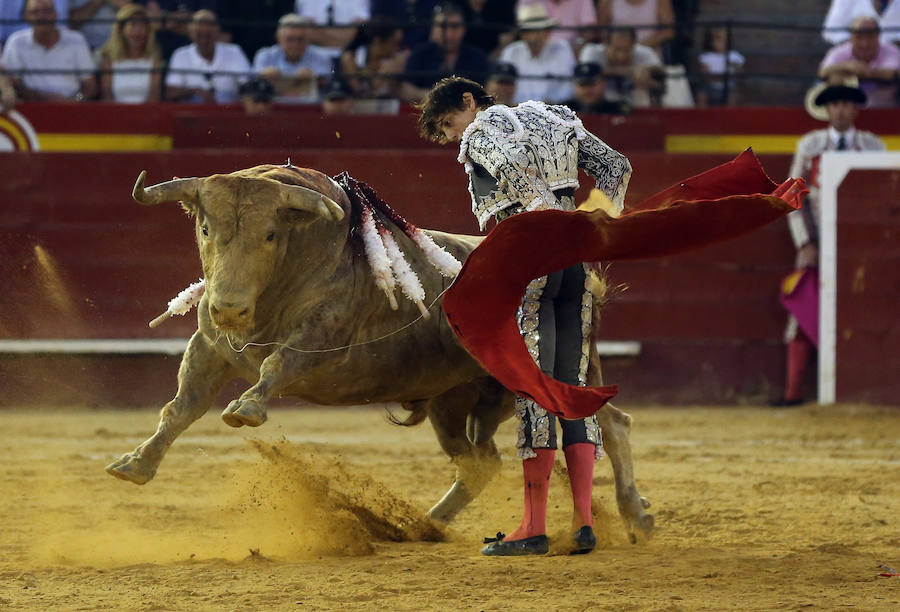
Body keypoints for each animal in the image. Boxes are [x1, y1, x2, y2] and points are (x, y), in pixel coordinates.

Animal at [107, 163, 652, 540]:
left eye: (270, 234)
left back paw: (636, 516)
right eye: (205, 230)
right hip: (452, 399)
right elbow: (179, 408)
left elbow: (278, 362)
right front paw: (136, 463)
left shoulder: (320, 337)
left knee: (611, 424)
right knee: (480, 463)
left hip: (554, 373)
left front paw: (247, 407)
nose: (229, 308)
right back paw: (424, 525)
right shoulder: (208, 347)